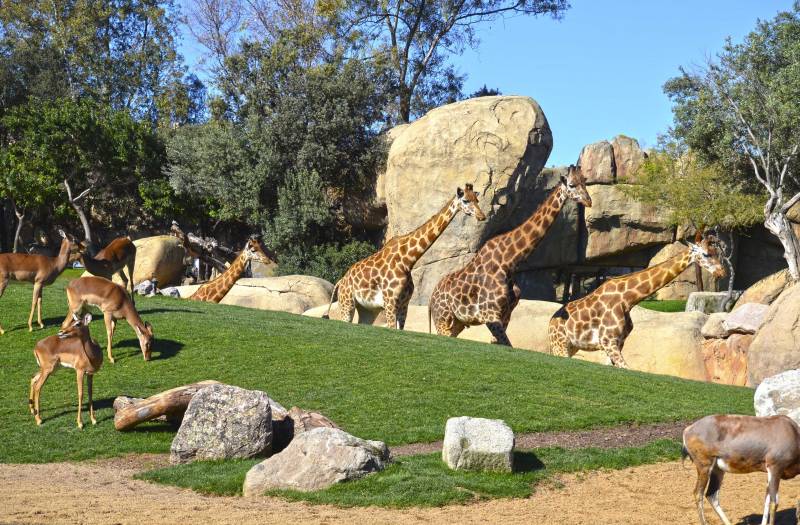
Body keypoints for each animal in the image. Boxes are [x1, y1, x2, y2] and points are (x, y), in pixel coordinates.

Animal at [324, 185, 488, 328]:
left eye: (477, 200)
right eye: (465, 200)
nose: (482, 216)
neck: (407, 260)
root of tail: (341, 281)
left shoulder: (404, 304)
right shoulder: (390, 301)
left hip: (368, 310)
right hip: (347, 303)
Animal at [428, 166, 592, 346]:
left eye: (585, 182)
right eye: (571, 185)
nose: (589, 201)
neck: (509, 261)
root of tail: (431, 298)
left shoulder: (506, 314)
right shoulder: (490, 314)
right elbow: (507, 344)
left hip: (457, 323)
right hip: (443, 319)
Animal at [548, 233, 728, 368]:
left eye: (718, 253)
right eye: (706, 254)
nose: (722, 273)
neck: (628, 300)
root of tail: (550, 323)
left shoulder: (618, 342)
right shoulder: (607, 340)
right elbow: (627, 368)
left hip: (572, 346)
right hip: (560, 345)